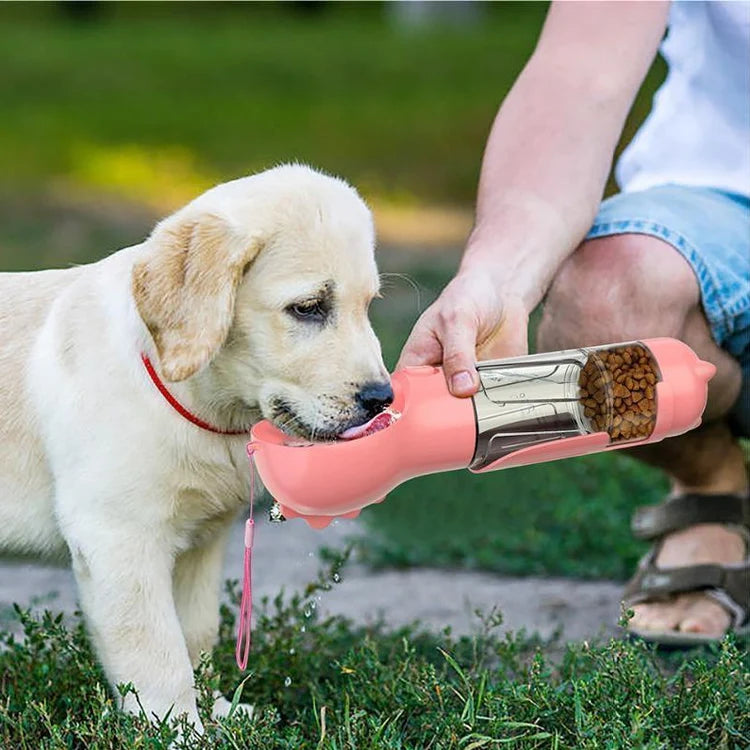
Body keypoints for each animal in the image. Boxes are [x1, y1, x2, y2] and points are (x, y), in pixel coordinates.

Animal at [1, 164, 394, 728]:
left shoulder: (201, 543)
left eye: (367, 307)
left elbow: (196, 634)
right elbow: (156, 649)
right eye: (309, 308)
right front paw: (179, 728)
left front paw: (220, 711)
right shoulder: (117, 537)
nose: (383, 399)